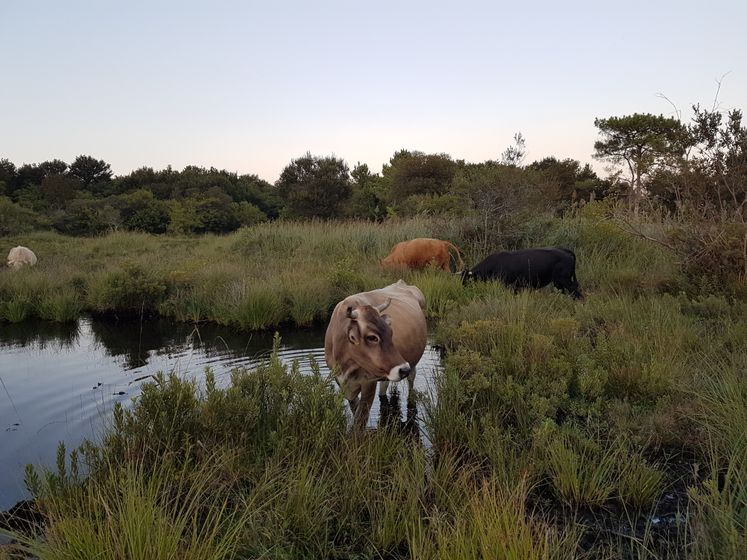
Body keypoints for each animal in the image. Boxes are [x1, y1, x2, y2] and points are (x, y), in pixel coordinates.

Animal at [322, 278, 426, 426]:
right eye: (372, 337)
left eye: (390, 332)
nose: (403, 369)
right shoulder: (342, 382)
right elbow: (355, 414)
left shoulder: (369, 383)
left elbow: (359, 422)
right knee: (384, 387)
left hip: (413, 365)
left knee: (411, 384)